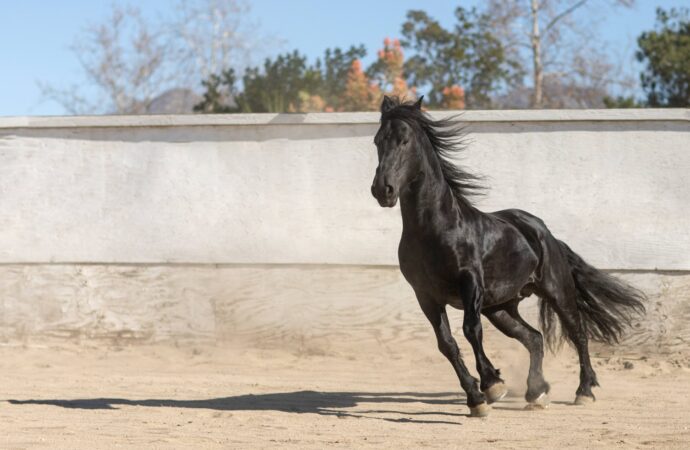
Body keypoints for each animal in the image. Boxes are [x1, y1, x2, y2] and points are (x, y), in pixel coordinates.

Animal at [370, 96, 645, 417]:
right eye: (378, 141)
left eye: (404, 140)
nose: (383, 190)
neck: (434, 229)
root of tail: (544, 232)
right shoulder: (425, 295)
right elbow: (447, 344)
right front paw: (477, 398)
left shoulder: (470, 283)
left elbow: (471, 330)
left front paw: (491, 386)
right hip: (500, 308)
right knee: (534, 338)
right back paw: (537, 392)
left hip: (556, 291)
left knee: (578, 332)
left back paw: (584, 391)